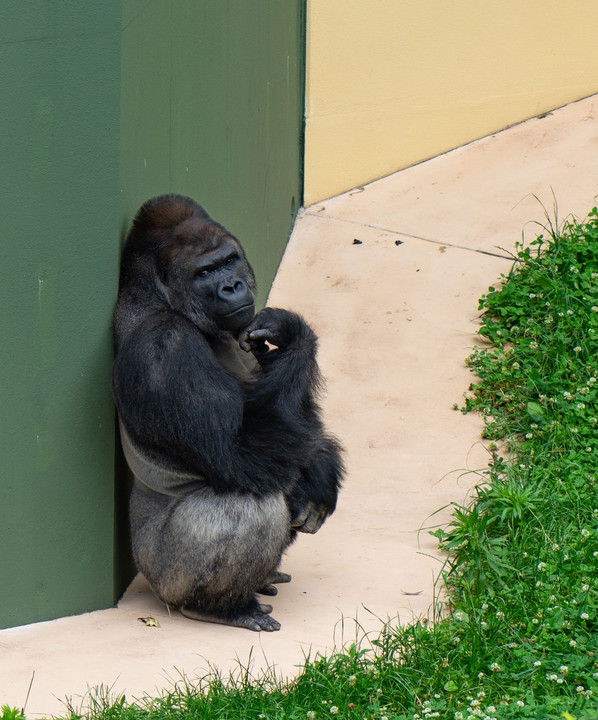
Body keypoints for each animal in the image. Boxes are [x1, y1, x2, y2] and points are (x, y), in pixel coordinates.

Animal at [112, 195, 344, 632]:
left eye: (229, 261)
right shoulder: (167, 347)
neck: (155, 296)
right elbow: (240, 453)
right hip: (163, 578)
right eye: (205, 272)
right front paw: (296, 335)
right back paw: (219, 607)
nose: (232, 286)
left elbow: (296, 429)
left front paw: (323, 469)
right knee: (251, 503)